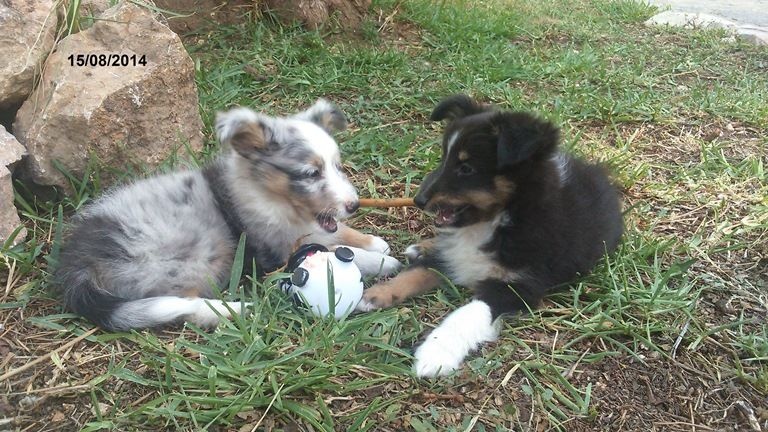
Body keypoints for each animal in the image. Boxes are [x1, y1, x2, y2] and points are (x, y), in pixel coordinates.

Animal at [360, 93, 624, 374]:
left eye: (466, 168)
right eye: (443, 158)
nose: (418, 200)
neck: (495, 222)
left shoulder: (516, 286)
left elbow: (468, 315)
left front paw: (435, 354)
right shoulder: (453, 256)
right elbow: (415, 273)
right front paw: (376, 295)